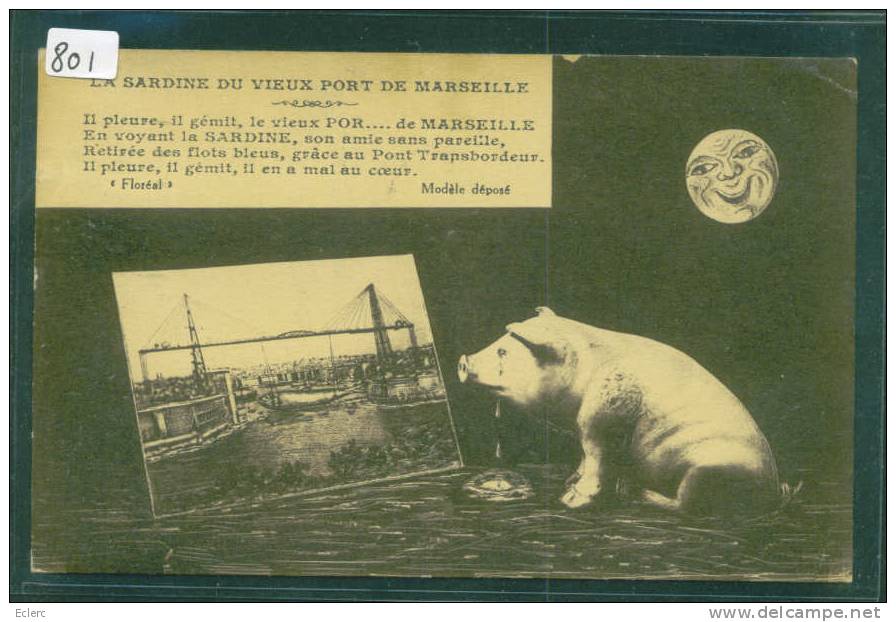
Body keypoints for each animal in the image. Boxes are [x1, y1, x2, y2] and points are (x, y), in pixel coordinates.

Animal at [458, 308, 780, 516]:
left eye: (504, 351)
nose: (463, 359)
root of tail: (774, 490)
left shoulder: (602, 419)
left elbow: (597, 459)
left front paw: (570, 500)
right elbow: (584, 458)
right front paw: (569, 481)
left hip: (709, 470)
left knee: (686, 506)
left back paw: (638, 494)